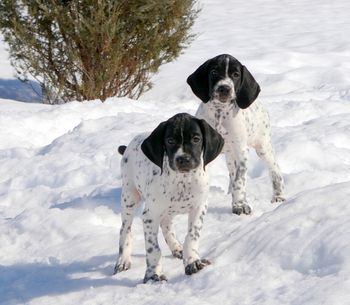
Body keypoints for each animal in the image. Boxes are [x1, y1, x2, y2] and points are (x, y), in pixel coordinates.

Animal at [115, 112, 224, 282]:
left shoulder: (199, 207)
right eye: (170, 141)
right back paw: (123, 260)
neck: (182, 181)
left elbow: (192, 236)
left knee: (166, 225)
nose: (183, 159)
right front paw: (154, 274)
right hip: (129, 197)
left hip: (166, 210)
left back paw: (176, 247)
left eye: (196, 139)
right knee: (125, 230)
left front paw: (192, 261)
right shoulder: (150, 216)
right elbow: (153, 249)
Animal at [187, 54, 286, 214]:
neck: (220, 113)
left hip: (263, 147)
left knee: (275, 170)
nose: (224, 88)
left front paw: (240, 205)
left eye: (235, 74)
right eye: (214, 72)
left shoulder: (241, 153)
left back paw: (279, 196)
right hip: (230, 155)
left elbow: (239, 182)